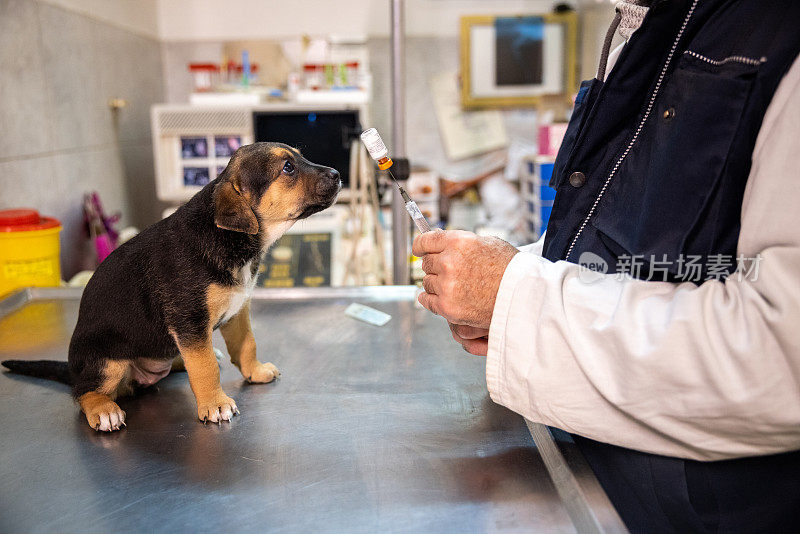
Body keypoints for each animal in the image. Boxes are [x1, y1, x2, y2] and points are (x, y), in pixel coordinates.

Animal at [0, 142, 340, 432]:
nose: (337, 174)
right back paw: (104, 410)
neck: (232, 239)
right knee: (84, 391)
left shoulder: (237, 311)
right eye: (288, 168)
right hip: (107, 361)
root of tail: (74, 368)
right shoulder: (189, 319)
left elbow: (246, 345)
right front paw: (214, 404)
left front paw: (254, 371)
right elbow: (204, 367)